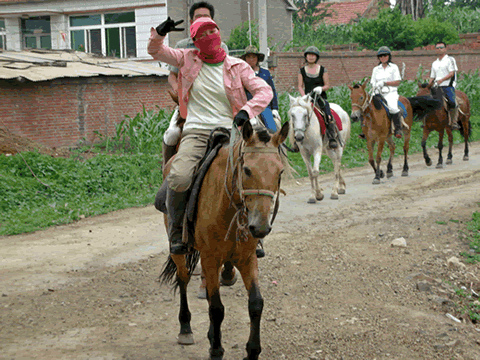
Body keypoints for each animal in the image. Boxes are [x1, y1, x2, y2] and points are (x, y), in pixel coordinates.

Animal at [160, 121, 288, 360]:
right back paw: (185, 328)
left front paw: (252, 351)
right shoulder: (210, 259)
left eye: (280, 171)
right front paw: (216, 350)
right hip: (179, 250)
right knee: (183, 279)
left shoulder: (247, 259)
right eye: (247, 169)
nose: (260, 227)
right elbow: (217, 309)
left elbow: (256, 303)